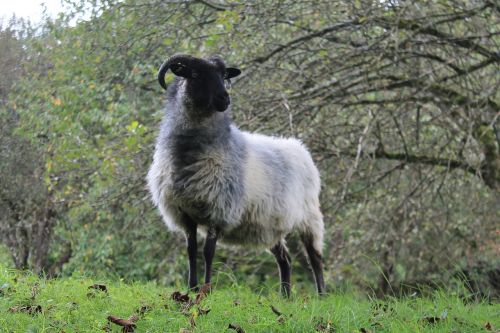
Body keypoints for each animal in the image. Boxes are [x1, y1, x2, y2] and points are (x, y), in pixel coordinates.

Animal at [146, 54, 326, 296]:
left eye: (224, 76)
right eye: (195, 74)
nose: (225, 98)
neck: (188, 156)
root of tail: (300, 148)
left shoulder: (218, 208)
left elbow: (208, 252)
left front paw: (206, 290)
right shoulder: (184, 213)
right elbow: (191, 250)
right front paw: (192, 288)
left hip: (309, 217)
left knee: (315, 258)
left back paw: (321, 295)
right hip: (270, 223)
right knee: (285, 259)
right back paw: (285, 297)